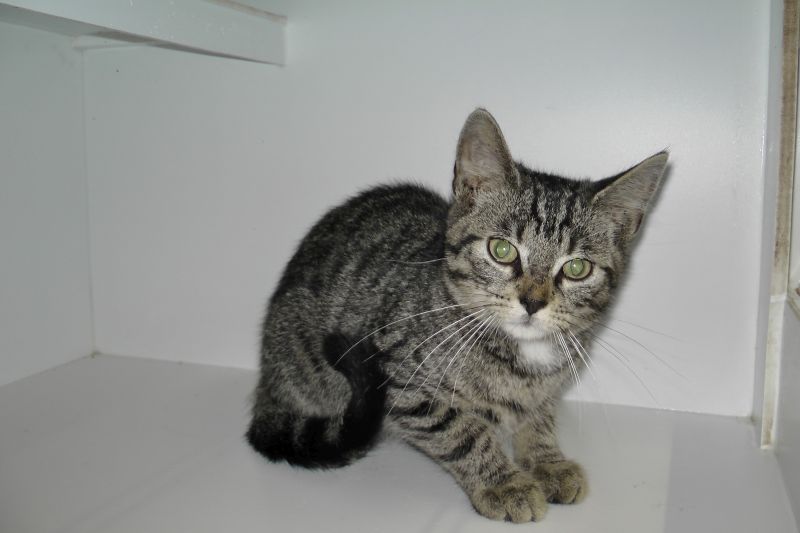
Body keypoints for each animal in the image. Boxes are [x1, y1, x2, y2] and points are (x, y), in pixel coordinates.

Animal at [246, 108, 667, 522]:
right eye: (502, 250)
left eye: (577, 268)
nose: (533, 301)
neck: (522, 357)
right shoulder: (400, 378)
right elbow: (462, 430)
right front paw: (504, 484)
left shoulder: (545, 390)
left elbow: (539, 417)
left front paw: (547, 461)